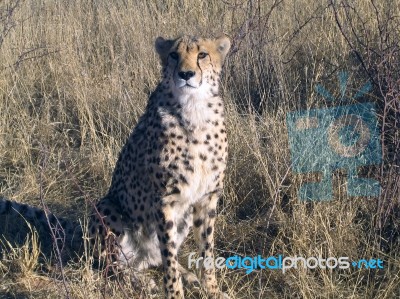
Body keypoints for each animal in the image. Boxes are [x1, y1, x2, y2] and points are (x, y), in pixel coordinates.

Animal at [0, 34, 230, 298]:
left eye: (202, 54)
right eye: (174, 54)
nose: (185, 74)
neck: (194, 108)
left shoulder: (207, 197)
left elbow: (206, 250)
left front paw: (211, 289)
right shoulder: (165, 200)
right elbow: (169, 259)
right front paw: (175, 293)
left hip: (181, 220)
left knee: (156, 257)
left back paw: (187, 275)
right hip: (106, 208)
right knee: (115, 264)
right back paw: (141, 281)